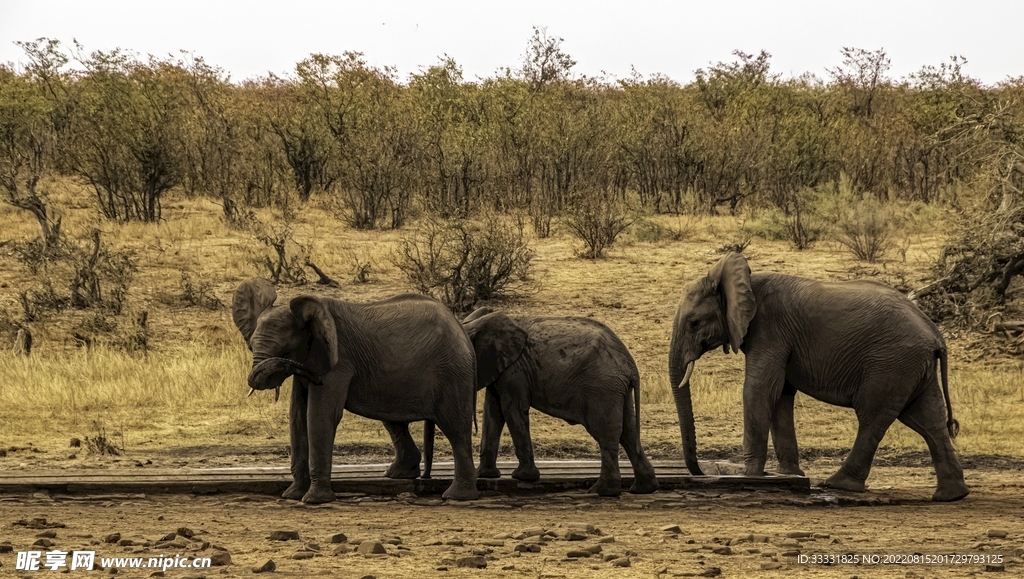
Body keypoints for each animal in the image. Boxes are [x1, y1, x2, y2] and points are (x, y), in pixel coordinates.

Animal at [232, 279, 480, 503]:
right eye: (251, 345)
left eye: (284, 351)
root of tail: (461, 328)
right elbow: (297, 417)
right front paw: (292, 495)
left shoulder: (338, 360)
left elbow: (321, 415)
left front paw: (314, 500)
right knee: (394, 420)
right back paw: (398, 474)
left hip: (453, 371)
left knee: (455, 427)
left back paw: (457, 496)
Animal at [424, 307, 659, 497]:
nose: (425, 478)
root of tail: (630, 366)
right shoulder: (500, 367)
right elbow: (493, 412)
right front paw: (485, 475)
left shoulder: (515, 369)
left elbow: (512, 410)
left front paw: (522, 477)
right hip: (618, 391)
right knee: (628, 433)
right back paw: (643, 489)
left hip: (602, 389)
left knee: (606, 435)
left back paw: (602, 492)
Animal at [668, 252, 969, 502]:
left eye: (694, 323)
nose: (700, 472)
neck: (745, 281)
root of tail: (936, 335)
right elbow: (780, 395)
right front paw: (789, 475)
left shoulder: (770, 330)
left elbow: (760, 389)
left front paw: (750, 475)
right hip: (912, 367)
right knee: (928, 420)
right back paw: (951, 496)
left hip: (891, 365)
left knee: (873, 417)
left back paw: (838, 484)